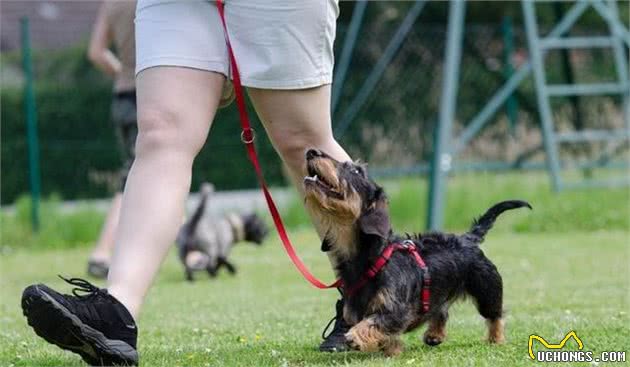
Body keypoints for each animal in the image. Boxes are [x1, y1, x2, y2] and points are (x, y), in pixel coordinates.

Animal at [304, 149, 532, 356]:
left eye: (356, 170)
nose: (312, 151)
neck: (372, 256)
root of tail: (467, 238)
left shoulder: (397, 310)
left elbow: (374, 322)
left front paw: (355, 337)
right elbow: (385, 333)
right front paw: (392, 349)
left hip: (487, 290)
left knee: (495, 316)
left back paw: (496, 339)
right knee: (441, 311)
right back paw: (434, 334)